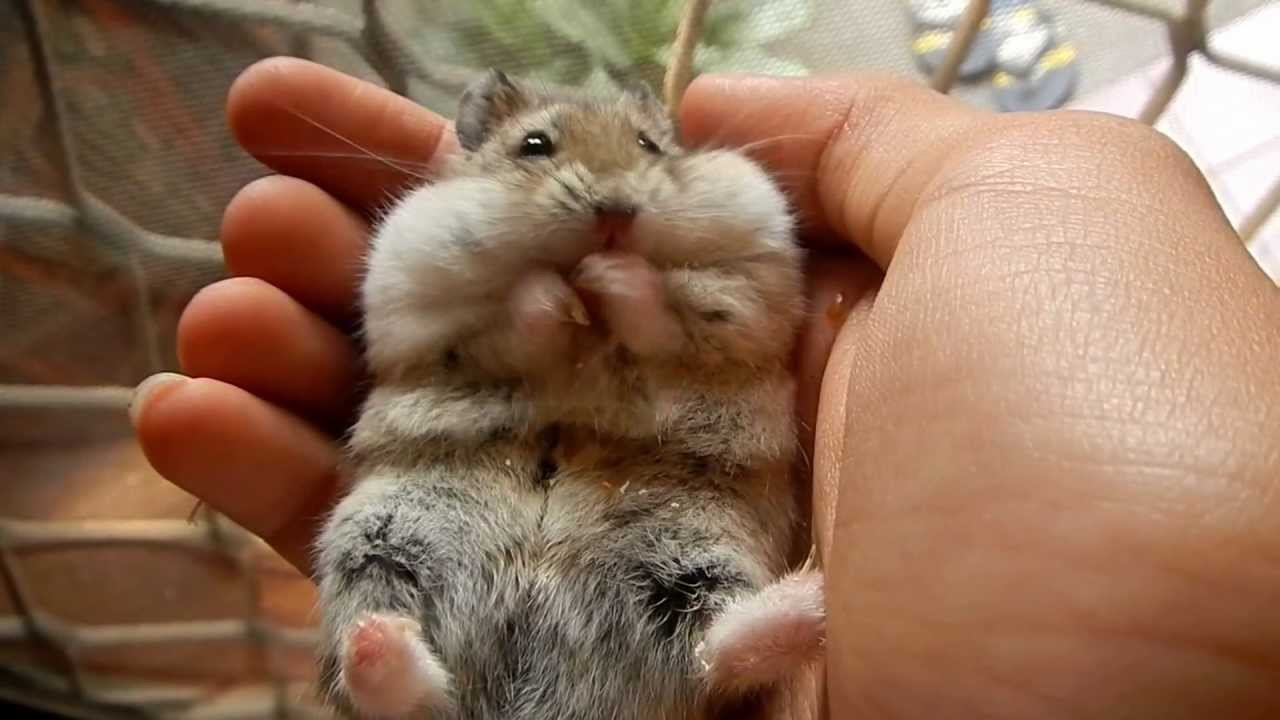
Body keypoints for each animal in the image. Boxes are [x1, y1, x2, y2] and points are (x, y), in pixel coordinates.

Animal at [313, 69, 825, 720]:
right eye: (534, 146)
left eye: (647, 146)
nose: (616, 215)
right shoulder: (419, 301)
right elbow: (517, 316)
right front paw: (557, 289)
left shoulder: (747, 297)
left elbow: (661, 315)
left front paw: (608, 274)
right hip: (378, 542)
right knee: (403, 691)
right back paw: (377, 641)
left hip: (695, 558)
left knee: (717, 652)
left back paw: (814, 598)